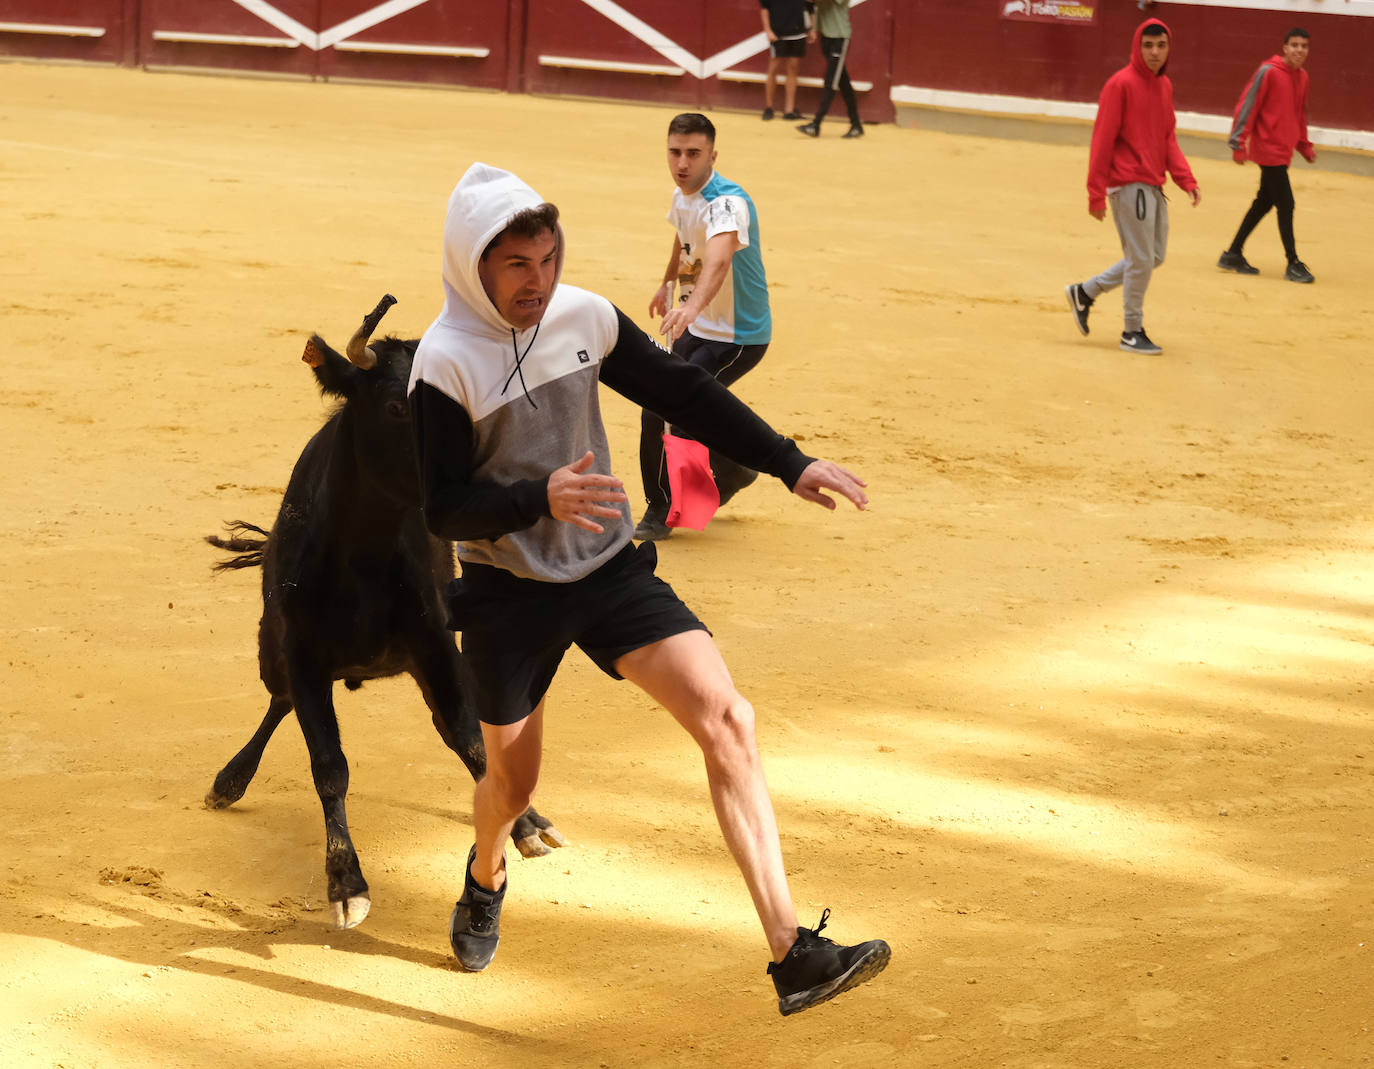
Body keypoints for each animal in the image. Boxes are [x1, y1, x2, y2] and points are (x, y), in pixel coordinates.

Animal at [201, 295, 563, 928]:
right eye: (398, 406)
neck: (362, 559)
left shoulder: (437, 645)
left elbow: (469, 737)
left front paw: (525, 825)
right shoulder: (302, 652)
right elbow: (329, 765)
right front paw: (346, 884)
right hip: (272, 649)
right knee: (278, 701)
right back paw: (230, 780)